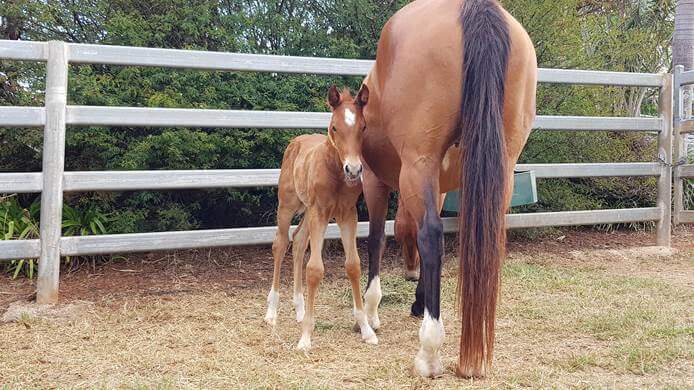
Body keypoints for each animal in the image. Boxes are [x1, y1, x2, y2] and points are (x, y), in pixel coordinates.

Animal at [264, 85, 378, 350]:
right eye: (335, 127)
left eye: (363, 127)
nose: (354, 170)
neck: (335, 172)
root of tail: (298, 140)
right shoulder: (320, 212)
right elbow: (315, 269)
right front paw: (306, 336)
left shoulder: (347, 214)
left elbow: (353, 265)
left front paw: (366, 329)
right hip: (288, 205)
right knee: (280, 244)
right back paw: (272, 311)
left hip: (308, 210)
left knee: (298, 241)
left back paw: (299, 308)